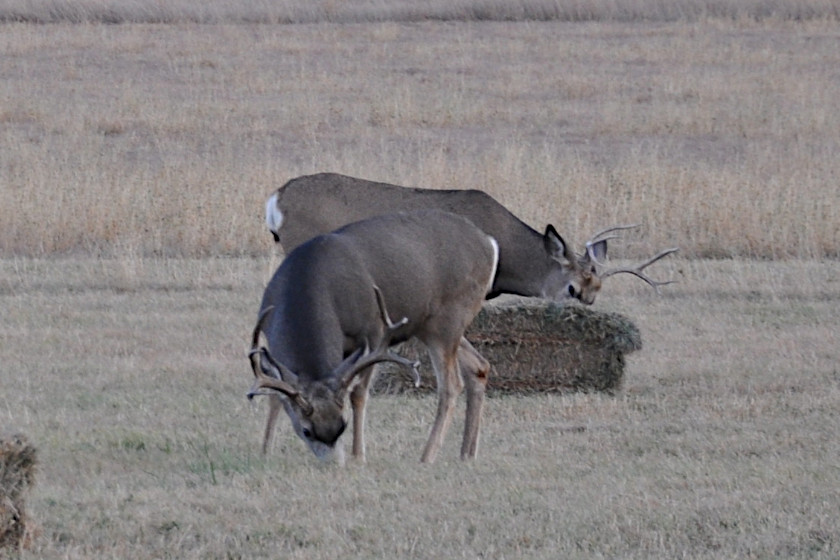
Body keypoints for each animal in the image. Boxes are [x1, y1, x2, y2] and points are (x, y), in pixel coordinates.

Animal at [248, 210, 498, 464]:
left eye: (342, 426)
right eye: (306, 430)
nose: (334, 464)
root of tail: (488, 243)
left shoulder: (374, 333)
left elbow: (358, 394)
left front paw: (358, 456)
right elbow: (276, 395)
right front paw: (265, 450)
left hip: (450, 317)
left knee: (451, 385)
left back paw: (427, 456)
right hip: (429, 325)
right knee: (479, 366)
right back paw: (467, 453)